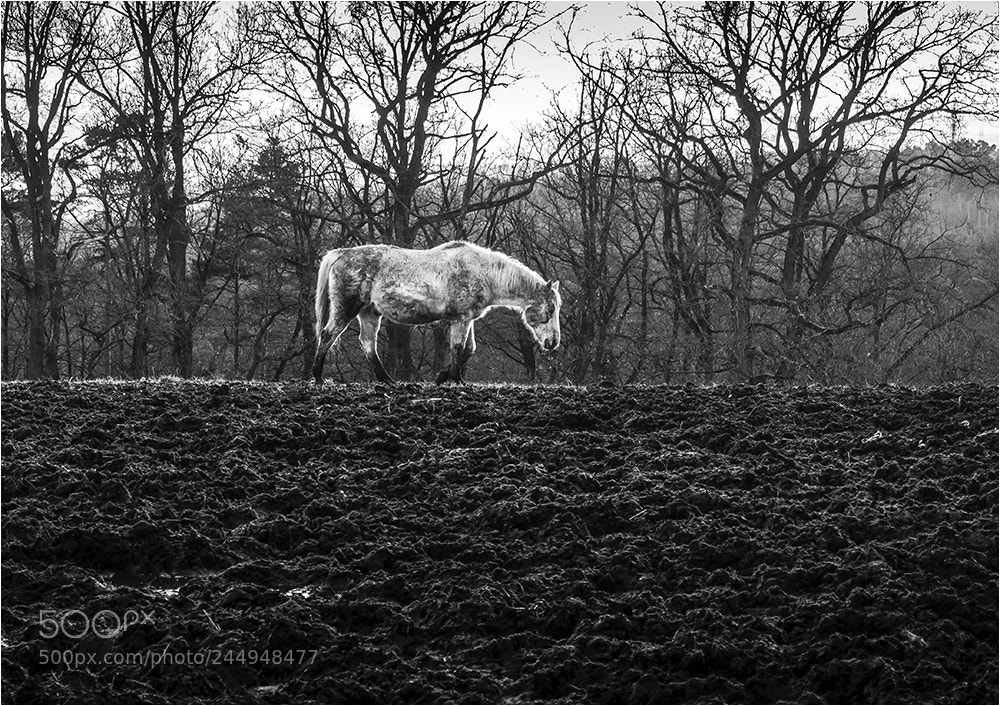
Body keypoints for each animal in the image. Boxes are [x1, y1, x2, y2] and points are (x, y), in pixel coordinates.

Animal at [312, 241, 561, 385]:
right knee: (327, 335)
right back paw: (317, 377)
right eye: (551, 309)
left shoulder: (467, 319)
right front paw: (457, 380)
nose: (552, 342)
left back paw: (387, 380)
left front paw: (443, 377)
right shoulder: (461, 319)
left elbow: (469, 349)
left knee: (367, 344)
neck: (483, 272)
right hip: (346, 309)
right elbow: (458, 348)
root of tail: (340, 254)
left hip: (369, 313)